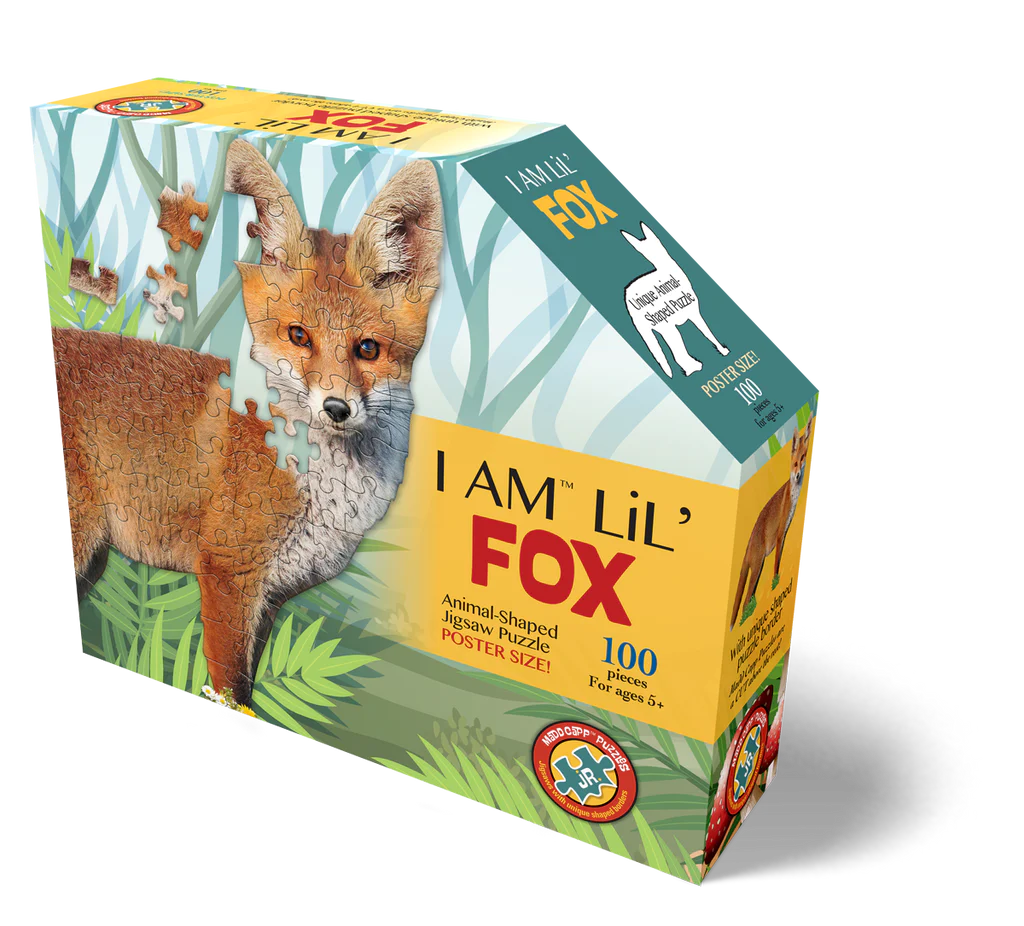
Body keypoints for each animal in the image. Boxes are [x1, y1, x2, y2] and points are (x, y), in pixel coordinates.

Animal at [52, 139, 443, 706]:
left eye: (368, 349)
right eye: (299, 336)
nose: (336, 408)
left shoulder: (272, 595)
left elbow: (250, 687)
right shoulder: (227, 574)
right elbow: (229, 686)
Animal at [621, 222, 729, 377]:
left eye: (655, 244)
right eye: (644, 250)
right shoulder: (694, 313)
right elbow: (707, 332)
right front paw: (723, 350)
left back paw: (691, 368)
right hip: (665, 325)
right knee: (676, 349)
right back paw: (694, 368)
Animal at [730, 415, 814, 631]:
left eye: (803, 458)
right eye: (794, 462)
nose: (797, 475)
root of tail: (748, 545)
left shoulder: (785, 533)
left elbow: (779, 560)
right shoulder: (780, 533)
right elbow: (776, 564)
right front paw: (776, 583)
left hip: (758, 570)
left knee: (748, 600)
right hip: (758, 566)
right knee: (744, 603)